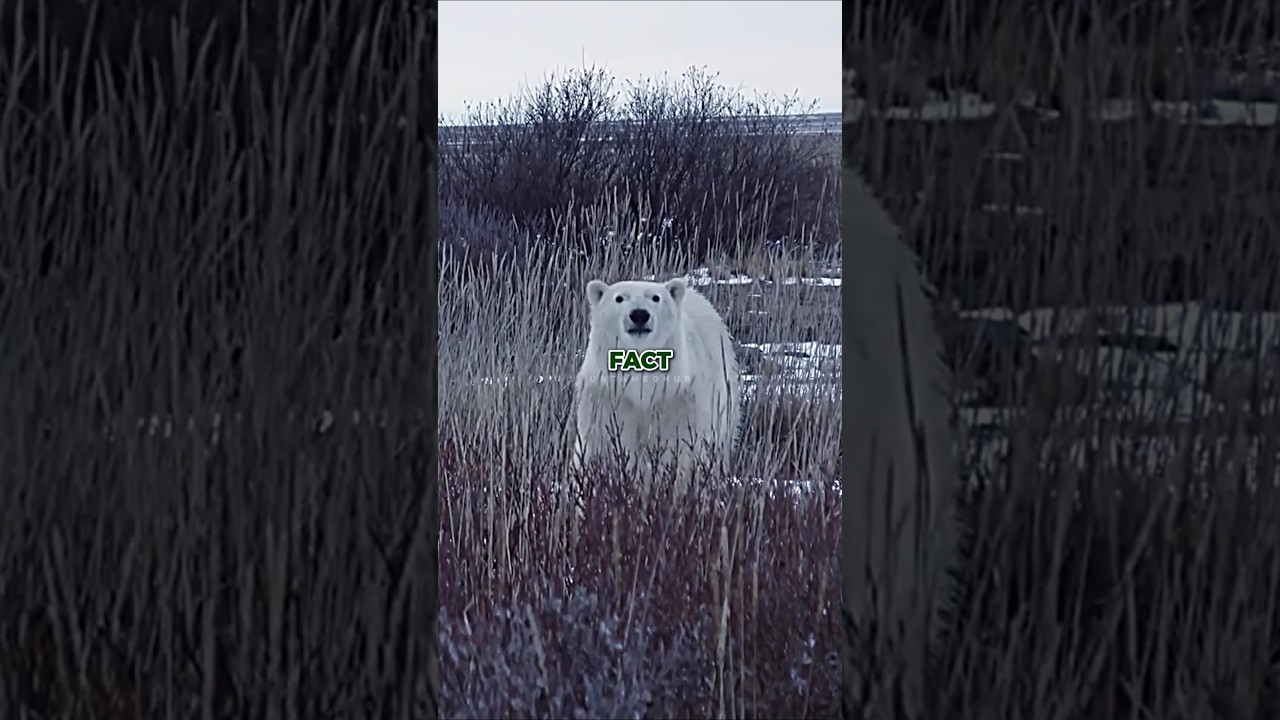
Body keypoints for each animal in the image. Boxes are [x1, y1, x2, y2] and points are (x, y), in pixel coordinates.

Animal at [569, 277, 741, 503]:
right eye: (619, 298)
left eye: (656, 297)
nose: (639, 314)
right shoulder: (608, 397)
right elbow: (602, 445)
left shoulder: (677, 399)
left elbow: (679, 449)